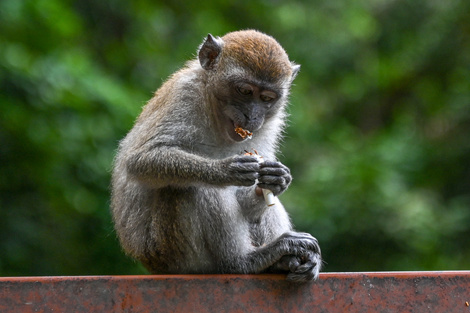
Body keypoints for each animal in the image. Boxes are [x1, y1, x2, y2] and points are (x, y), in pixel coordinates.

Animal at [111, 30, 324, 282]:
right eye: (245, 91)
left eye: (267, 98)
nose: (252, 116)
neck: (215, 112)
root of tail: (150, 264)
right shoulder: (183, 95)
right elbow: (140, 160)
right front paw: (225, 170)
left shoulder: (269, 125)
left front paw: (277, 179)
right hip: (173, 254)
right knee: (192, 187)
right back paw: (243, 261)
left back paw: (288, 261)